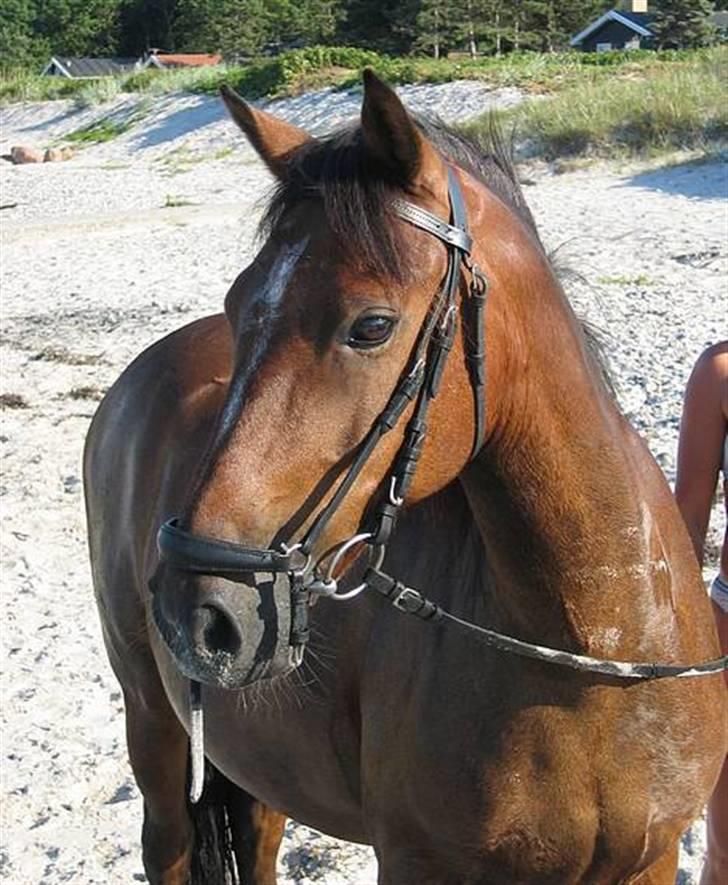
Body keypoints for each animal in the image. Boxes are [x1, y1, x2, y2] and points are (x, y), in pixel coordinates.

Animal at [84, 74, 724, 884]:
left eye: (372, 326)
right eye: (236, 305)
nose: (195, 609)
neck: (593, 649)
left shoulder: (652, 858)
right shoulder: (418, 859)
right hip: (153, 722)